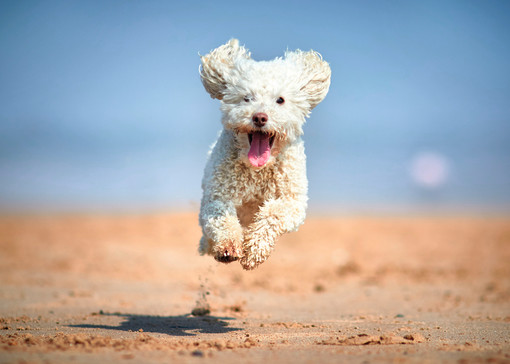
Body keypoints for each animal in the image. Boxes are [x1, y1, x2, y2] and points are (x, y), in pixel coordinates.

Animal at [195, 39, 330, 270]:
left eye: (280, 100)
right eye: (247, 98)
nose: (259, 117)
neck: (258, 171)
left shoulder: (293, 202)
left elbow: (272, 213)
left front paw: (254, 250)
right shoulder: (217, 195)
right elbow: (221, 217)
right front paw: (228, 247)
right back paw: (209, 245)